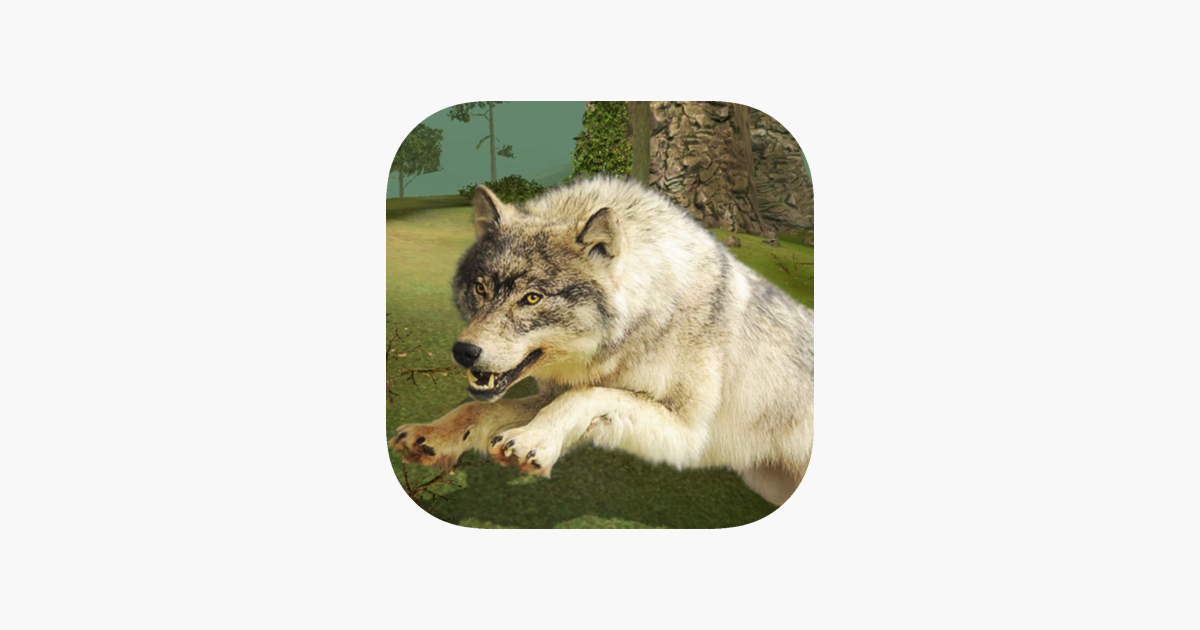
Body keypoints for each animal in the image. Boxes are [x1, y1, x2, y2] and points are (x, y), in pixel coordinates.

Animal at [391, 176, 814, 505]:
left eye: (532, 298)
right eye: (480, 289)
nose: (463, 352)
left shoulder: (688, 434)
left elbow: (584, 396)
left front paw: (530, 439)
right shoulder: (550, 393)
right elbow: (479, 409)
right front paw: (434, 434)